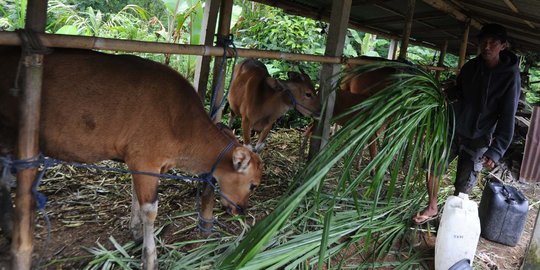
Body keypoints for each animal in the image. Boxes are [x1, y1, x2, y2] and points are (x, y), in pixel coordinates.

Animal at [0, 45, 262, 268]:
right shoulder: (146, 160)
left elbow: (136, 196)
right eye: (253, 185)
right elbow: (150, 211)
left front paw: (135, 230)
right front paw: (150, 258)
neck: (180, 121)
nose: (242, 209)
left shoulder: (139, 163)